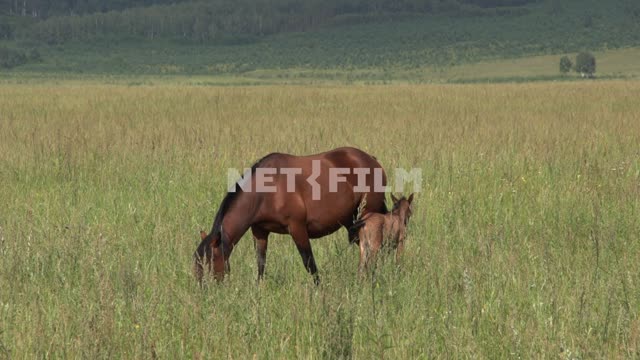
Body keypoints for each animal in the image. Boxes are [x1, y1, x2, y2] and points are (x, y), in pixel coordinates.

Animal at [192, 146, 388, 284]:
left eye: (209, 263)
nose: (204, 292)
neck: (265, 190)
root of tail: (372, 160)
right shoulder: (259, 231)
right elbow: (261, 265)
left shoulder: (297, 228)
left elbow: (310, 264)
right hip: (352, 222)